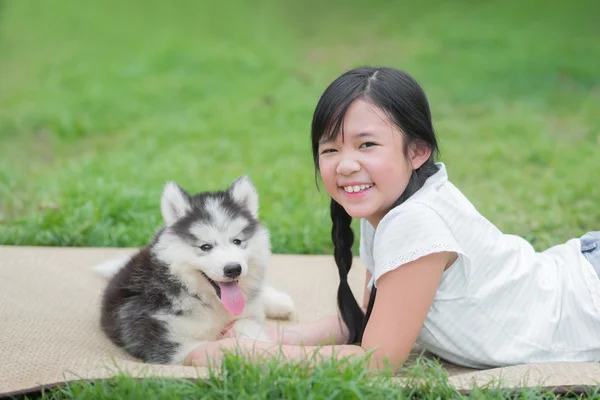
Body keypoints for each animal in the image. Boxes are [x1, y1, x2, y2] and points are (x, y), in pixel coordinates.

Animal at [96, 177, 296, 364]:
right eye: (205, 246)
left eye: (237, 241)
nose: (233, 269)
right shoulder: (169, 342)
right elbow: (220, 345)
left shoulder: (246, 314)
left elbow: (247, 323)